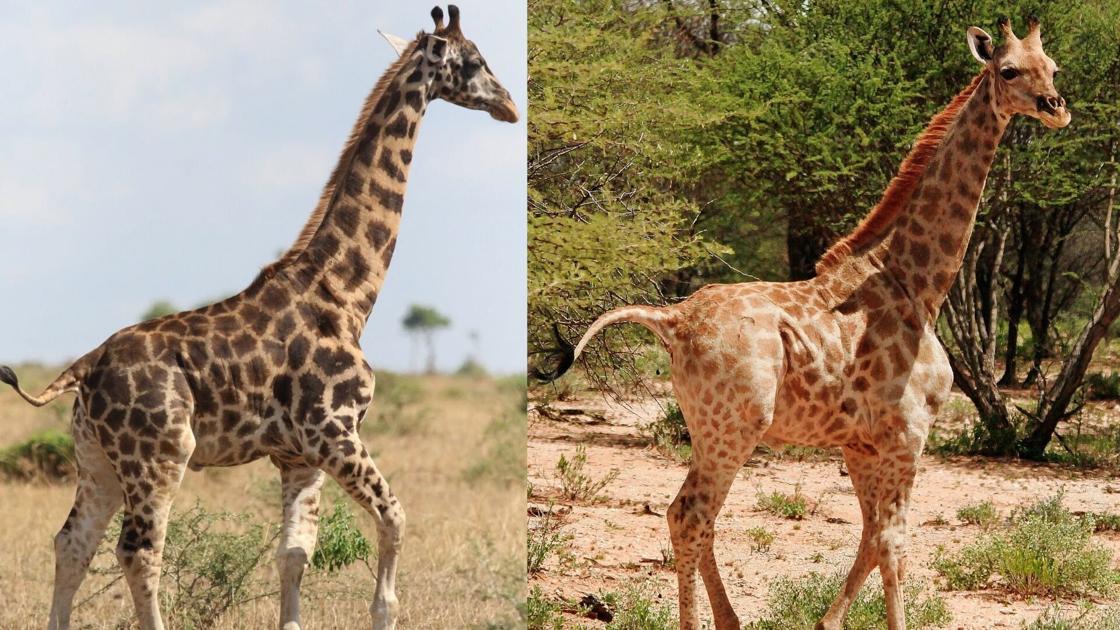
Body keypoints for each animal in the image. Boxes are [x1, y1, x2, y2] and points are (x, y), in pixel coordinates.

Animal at [0, 6, 517, 630]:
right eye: (476, 61)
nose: (510, 105)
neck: (346, 296)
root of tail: (85, 366)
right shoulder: (336, 431)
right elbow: (395, 518)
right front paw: (384, 612)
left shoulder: (299, 455)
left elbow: (294, 553)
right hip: (159, 453)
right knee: (139, 550)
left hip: (94, 456)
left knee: (72, 543)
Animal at [534, 18, 1067, 630]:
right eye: (1009, 70)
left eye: (1053, 68)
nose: (1056, 107)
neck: (918, 283)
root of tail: (672, 319)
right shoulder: (909, 434)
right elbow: (895, 545)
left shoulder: (861, 443)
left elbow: (870, 537)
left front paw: (827, 622)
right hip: (736, 426)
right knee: (689, 514)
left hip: (708, 427)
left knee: (696, 517)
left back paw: (731, 620)